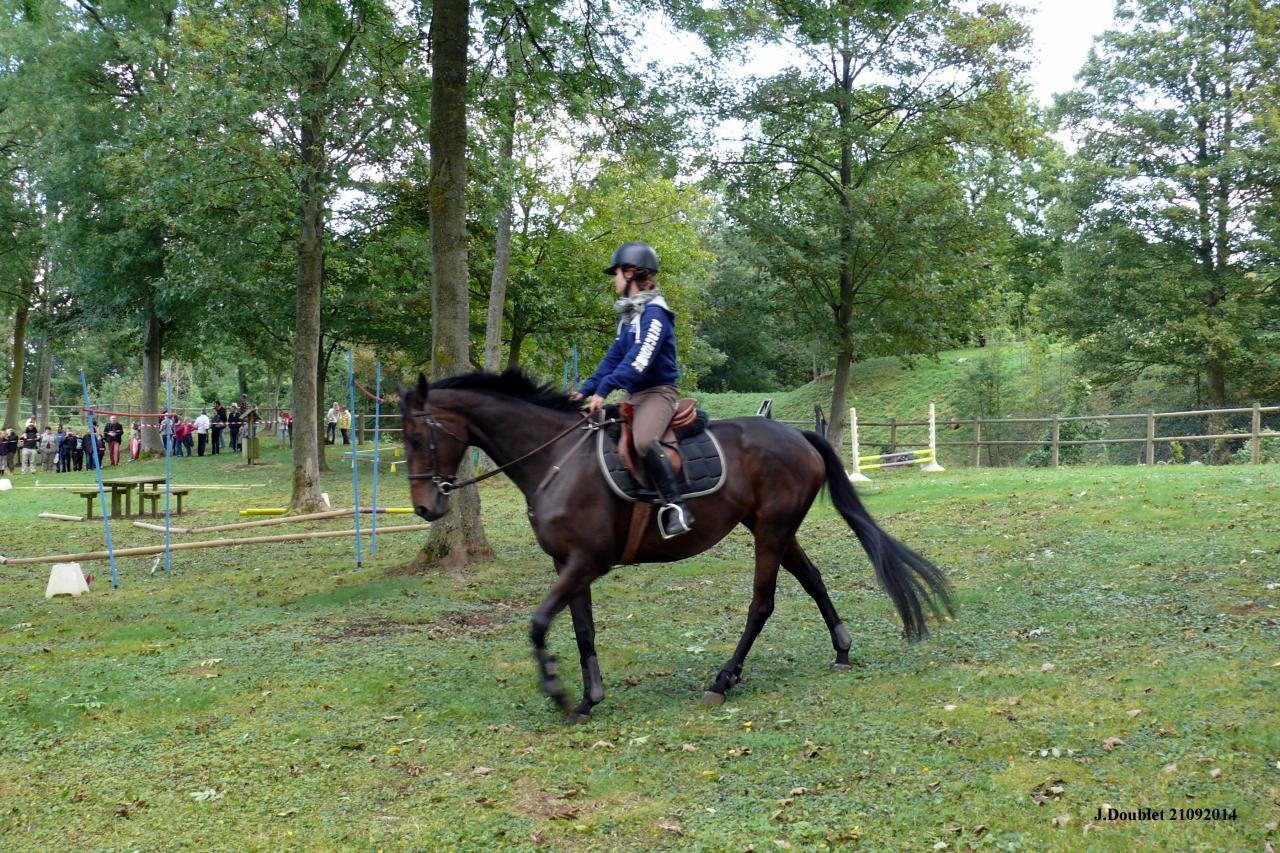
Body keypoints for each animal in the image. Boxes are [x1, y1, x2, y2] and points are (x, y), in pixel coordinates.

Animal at [399, 370, 953, 720]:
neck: (556, 458)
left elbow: (538, 624)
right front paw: (589, 698)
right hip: (775, 530)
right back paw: (840, 649)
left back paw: (722, 680)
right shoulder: (567, 564)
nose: (425, 508)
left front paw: (557, 692)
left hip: (771, 533)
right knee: (813, 580)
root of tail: (797, 435)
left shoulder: (586, 562)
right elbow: (582, 630)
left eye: (415, 437)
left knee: (762, 604)